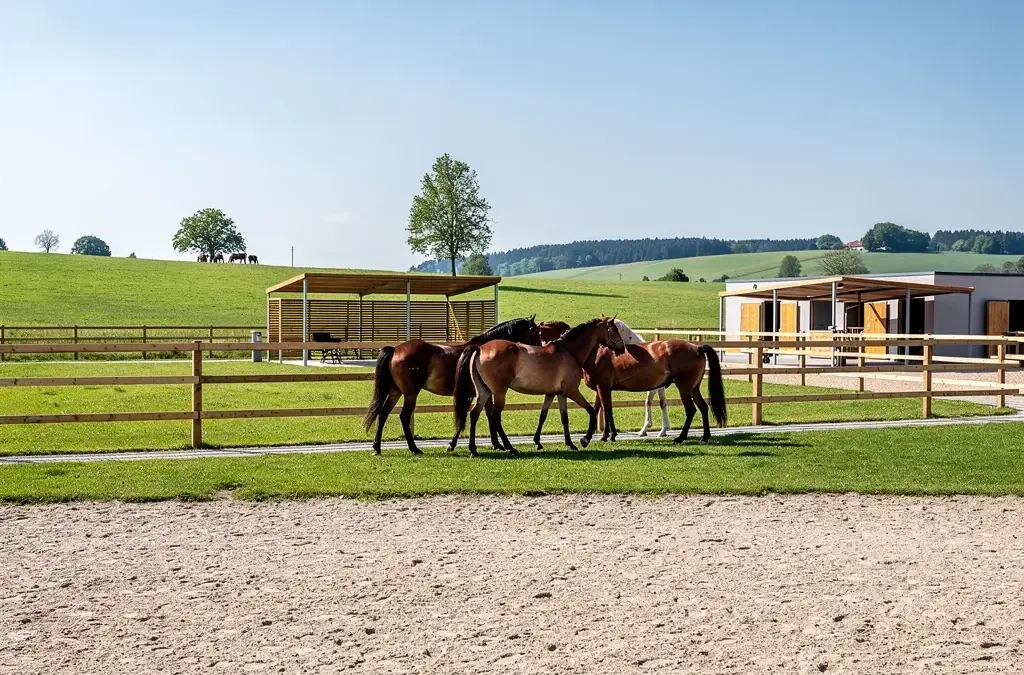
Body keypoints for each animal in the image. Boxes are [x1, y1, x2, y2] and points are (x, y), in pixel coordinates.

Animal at [363, 316, 542, 455]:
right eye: (535, 332)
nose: (538, 350)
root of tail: (396, 349)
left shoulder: (483, 393)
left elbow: (482, 414)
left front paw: (493, 444)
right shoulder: (481, 393)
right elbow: (481, 415)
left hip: (396, 391)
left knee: (383, 413)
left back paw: (377, 447)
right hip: (410, 393)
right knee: (404, 416)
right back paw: (414, 448)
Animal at [450, 317, 626, 456]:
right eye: (615, 330)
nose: (622, 348)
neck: (569, 351)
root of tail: (480, 348)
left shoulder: (556, 393)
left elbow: (555, 417)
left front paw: (561, 443)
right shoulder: (572, 391)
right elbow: (591, 411)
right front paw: (585, 439)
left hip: (484, 391)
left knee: (474, 414)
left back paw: (473, 449)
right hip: (499, 393)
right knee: (495, 417)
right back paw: (510, 448)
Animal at [583, 333, 727, 445]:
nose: (620, 348)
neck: (597, 355)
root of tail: (697, 347)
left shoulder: (603, 388)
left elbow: (606, 411)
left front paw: (605, 436)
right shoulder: (601, 390)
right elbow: (598, 409)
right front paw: (599, 436)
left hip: (684, 389)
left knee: (691, 410)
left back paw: (681, 438)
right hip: (694, 389)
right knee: (703, 407)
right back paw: (704, 437)